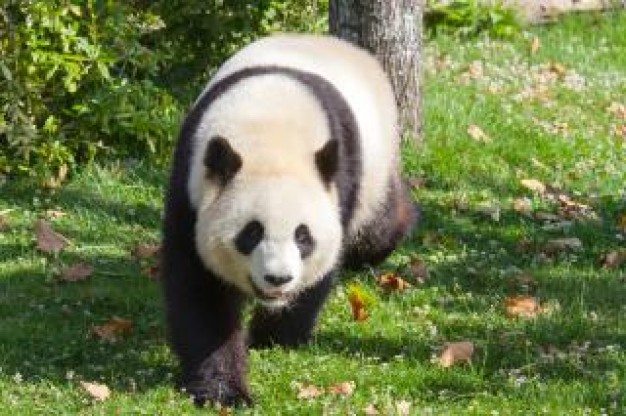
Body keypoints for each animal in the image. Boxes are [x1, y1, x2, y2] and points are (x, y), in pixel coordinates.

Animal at [162, 33, 414, 406]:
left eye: (303, 237)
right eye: (250, 234)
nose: (278, 278)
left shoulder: (338, 183)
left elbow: (321, 271)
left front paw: (273, 337)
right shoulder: (190, 186)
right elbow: (200, 288)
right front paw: (223, 391)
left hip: (376, 164)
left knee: (377, 229)